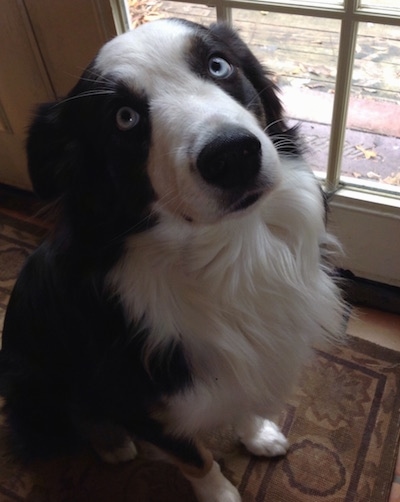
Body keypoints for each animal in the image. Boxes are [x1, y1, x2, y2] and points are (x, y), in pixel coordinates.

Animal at [0, 19, 344, 502]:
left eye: (219, 65)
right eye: (125, 118)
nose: (232, 154)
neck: (229, 251)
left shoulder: (245, 360)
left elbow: (243, 395)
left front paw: (257, 434)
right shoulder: (137, 399)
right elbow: (194, 457)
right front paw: (220, 494)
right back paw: (113, 444)